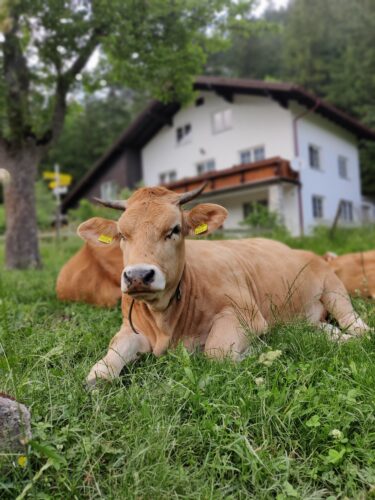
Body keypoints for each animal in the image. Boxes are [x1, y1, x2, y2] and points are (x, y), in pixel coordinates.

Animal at [72, 186, 368, 384]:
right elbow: (104, 364)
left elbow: (217, 353)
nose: (138, 275)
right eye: (122, 234)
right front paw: (100, 373)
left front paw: (261, 348)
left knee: (357, 327)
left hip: (334, 289)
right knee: (322, 328)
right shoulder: (130, 327)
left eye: (175, 229)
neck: (166, 321)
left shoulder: (246, 314)